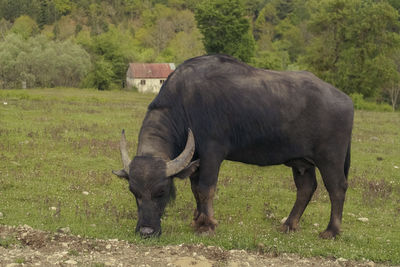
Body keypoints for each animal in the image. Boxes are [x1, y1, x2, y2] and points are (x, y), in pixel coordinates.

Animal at [111, 54, 354, 239]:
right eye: (133, 192)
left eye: (162, 191)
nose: (146, 231)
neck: (185, 103)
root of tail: (345, 100)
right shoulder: (196, 158)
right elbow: (195, 189)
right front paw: (198, 219)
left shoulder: (212, 153)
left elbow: (206, 188)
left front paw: (207, 225)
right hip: (301, 162)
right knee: (306, 187)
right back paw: (289, 224)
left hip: (330, 158)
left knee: (337, 188)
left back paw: (331, 231)